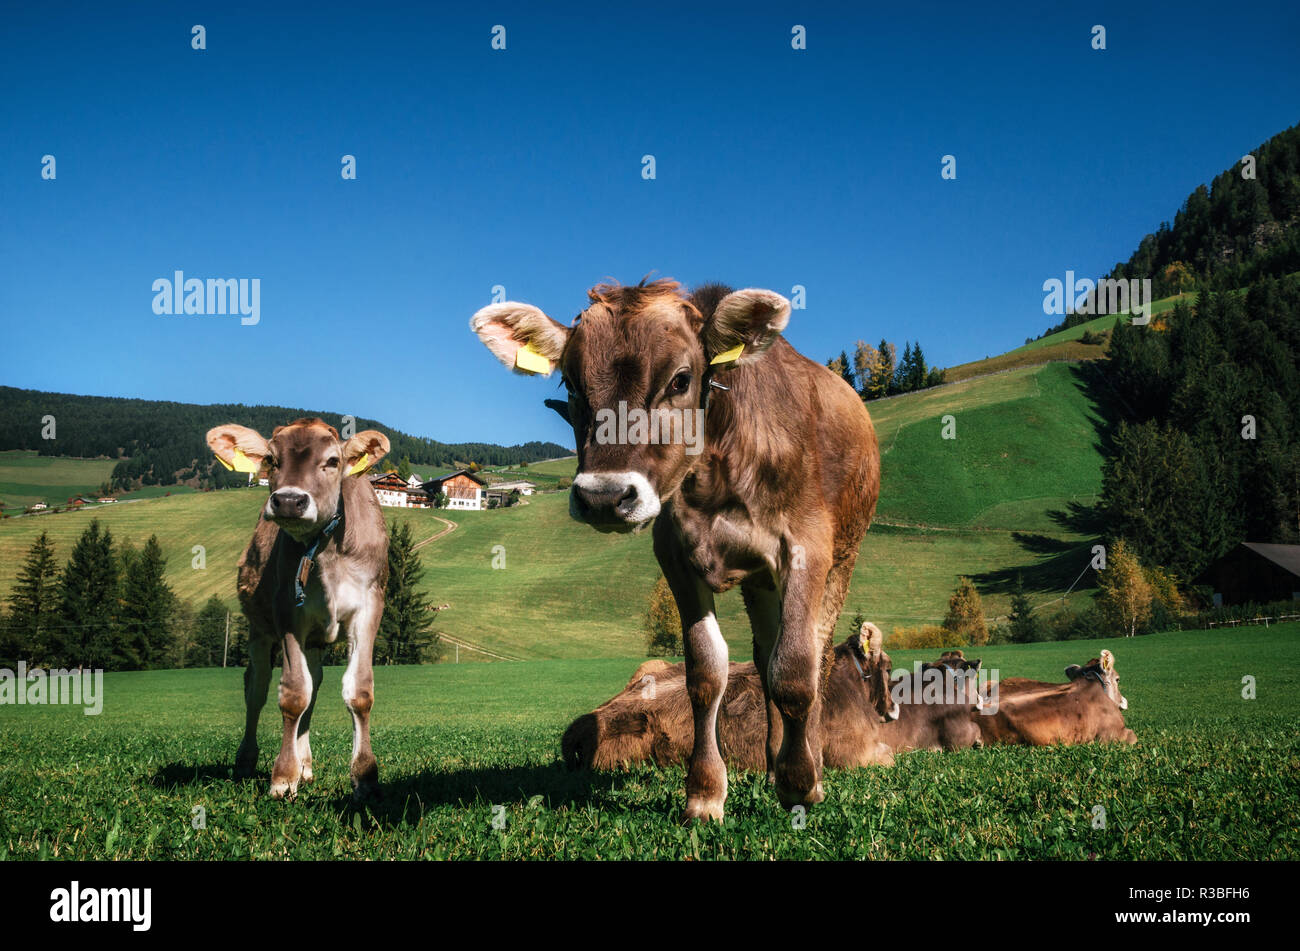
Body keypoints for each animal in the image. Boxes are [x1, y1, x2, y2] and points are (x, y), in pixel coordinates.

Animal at [206, 418, 391, 801]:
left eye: (333, 461)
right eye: (271, 460)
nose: (290, 501)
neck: (328, 553)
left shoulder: (369, 606)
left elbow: (359, 692)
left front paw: (364, 776)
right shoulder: (287, 612)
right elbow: (293, 694)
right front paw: (282, 777)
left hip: (316, 639)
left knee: (314, 683)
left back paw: (305, 765)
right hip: (259, 629)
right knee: (257, 688)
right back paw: (248, 761)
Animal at [562, 625, 898, 772]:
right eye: (889, 667)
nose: (894, 708)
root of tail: (585, 724)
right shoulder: (855, 754)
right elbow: (891, 757)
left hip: (649, 668)